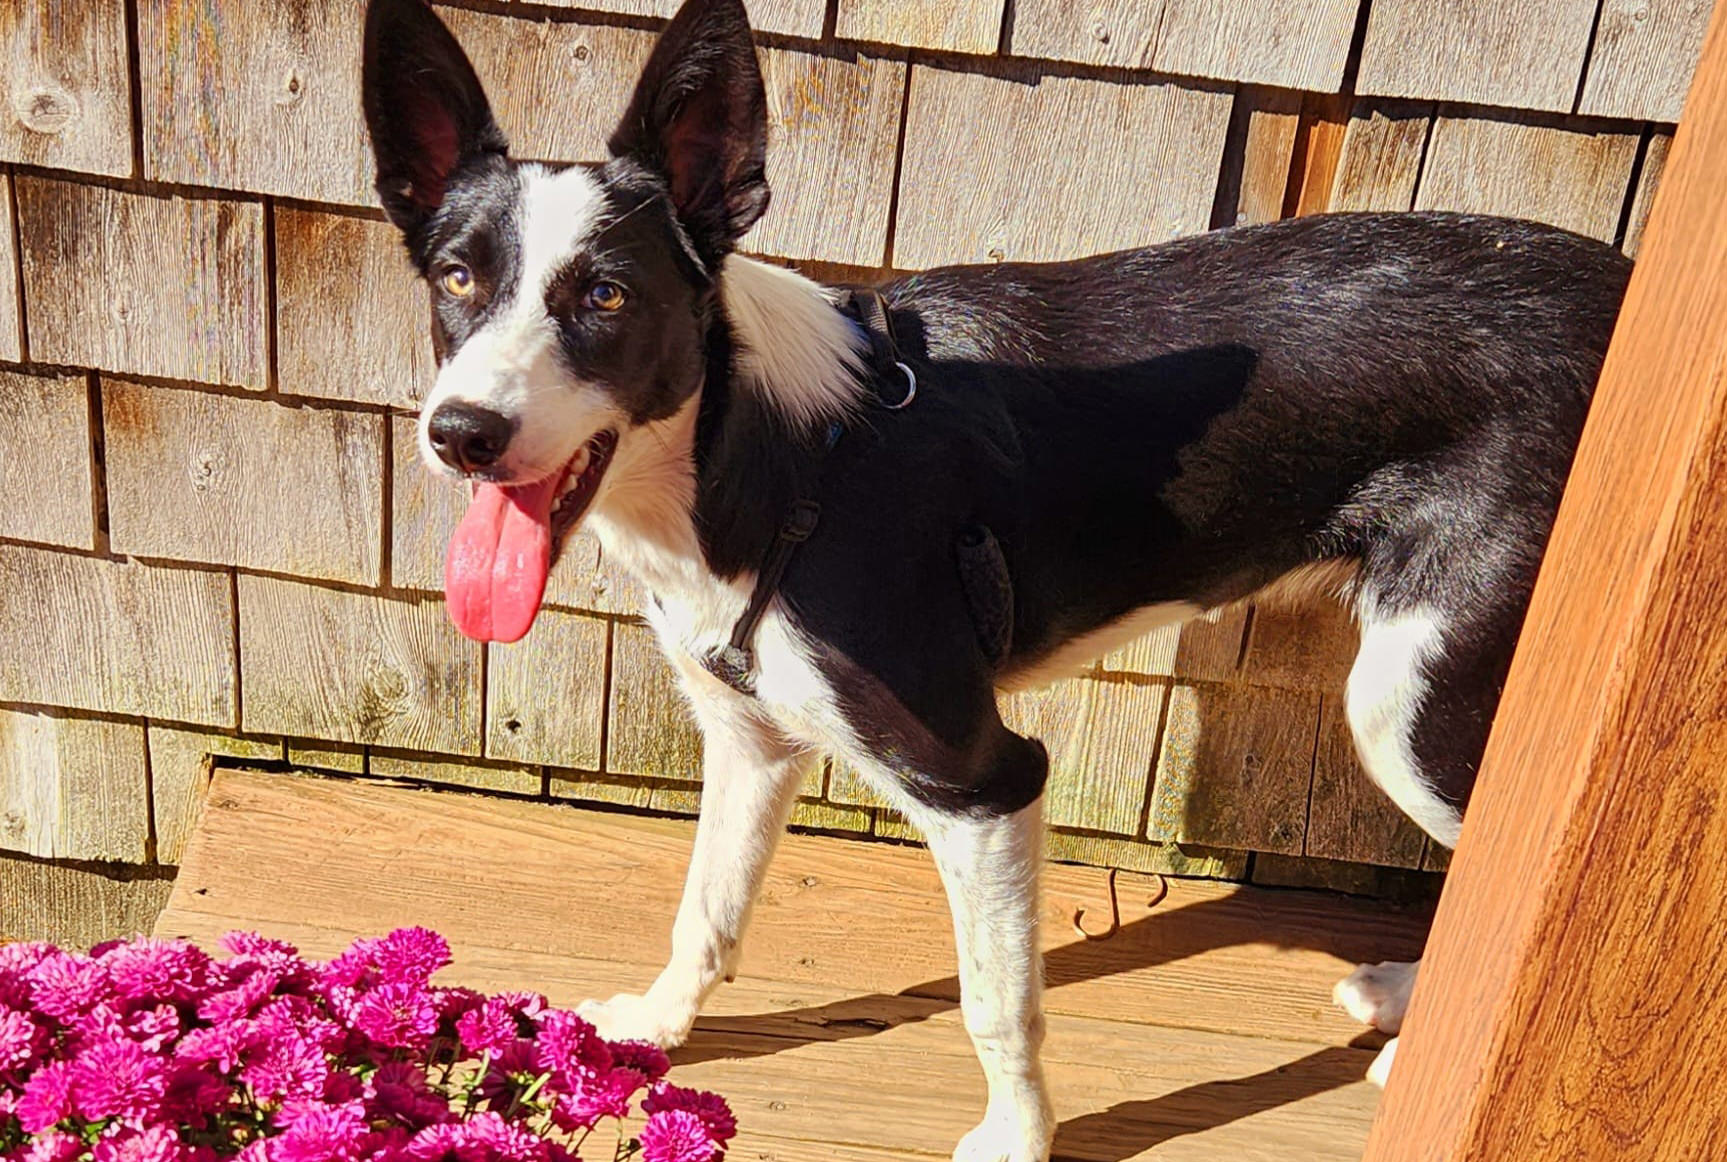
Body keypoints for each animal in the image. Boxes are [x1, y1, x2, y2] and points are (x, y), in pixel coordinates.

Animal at [364, 0, 1630, 1153]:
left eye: (606, 297)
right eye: (457, 281)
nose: (460, 433)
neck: (768, 458)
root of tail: (1617, 281)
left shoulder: (980, 780)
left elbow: (993, 1005)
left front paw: (1017, 1136)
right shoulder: (749, 738)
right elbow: (706, 909)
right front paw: (658, 1027)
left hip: (1410, 699)